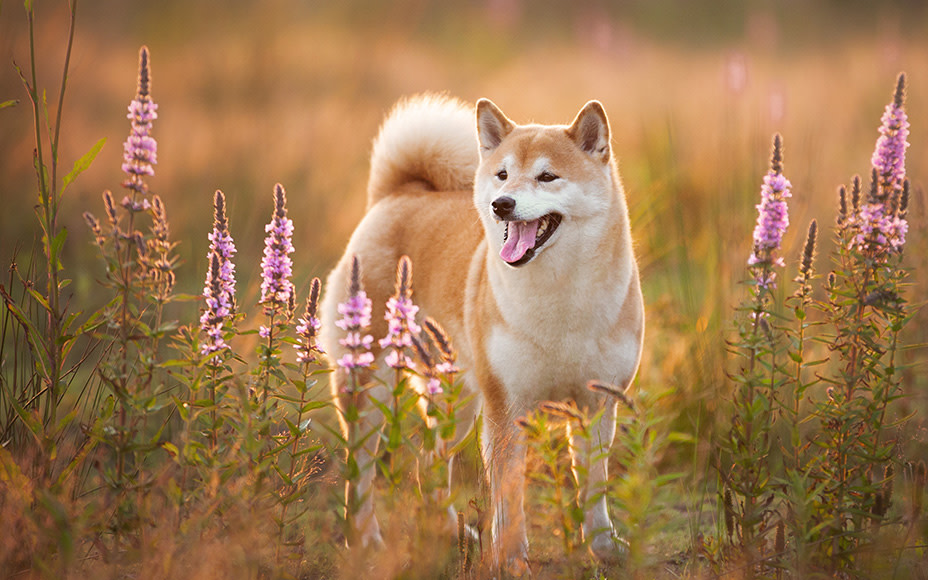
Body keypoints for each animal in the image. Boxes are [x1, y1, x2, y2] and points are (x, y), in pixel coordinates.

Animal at [320, 94, 644, 572]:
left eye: (547, 176)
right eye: (503, 174)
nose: (502, 204)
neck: (561, 295)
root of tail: (399, 194)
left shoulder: (598, 404)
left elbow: (594, 485)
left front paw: (602, 546)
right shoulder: (506, 410)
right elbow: (509, 496)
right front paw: (510, 558)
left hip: (459, 401)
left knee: (429, 462)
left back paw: (446, 530)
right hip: (372, 388)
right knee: (359, 469)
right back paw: (364, 539)